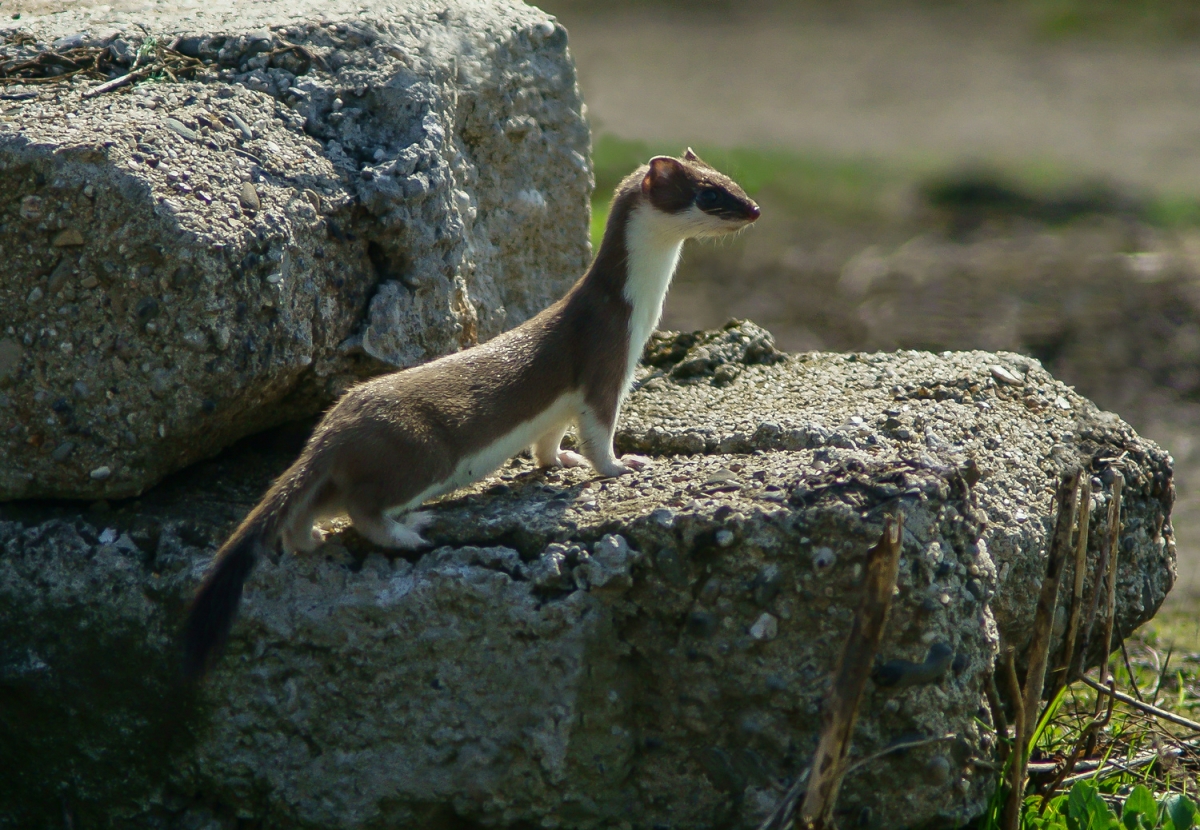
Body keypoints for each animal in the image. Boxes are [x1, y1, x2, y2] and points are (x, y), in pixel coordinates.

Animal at [182, 149, 760, 677]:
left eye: (730, 180)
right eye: (710, 194)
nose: (753, 208)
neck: (640, 316)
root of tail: (331, 426)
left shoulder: (562, 401)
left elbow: (549, 439)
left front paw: (562, 463)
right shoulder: (602, 358)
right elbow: (599, 430)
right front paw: (622, 466)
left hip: (345, 466)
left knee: (311, 507)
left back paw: (312, 538)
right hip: (420, 452)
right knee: (362, 506)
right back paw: (410, 529)